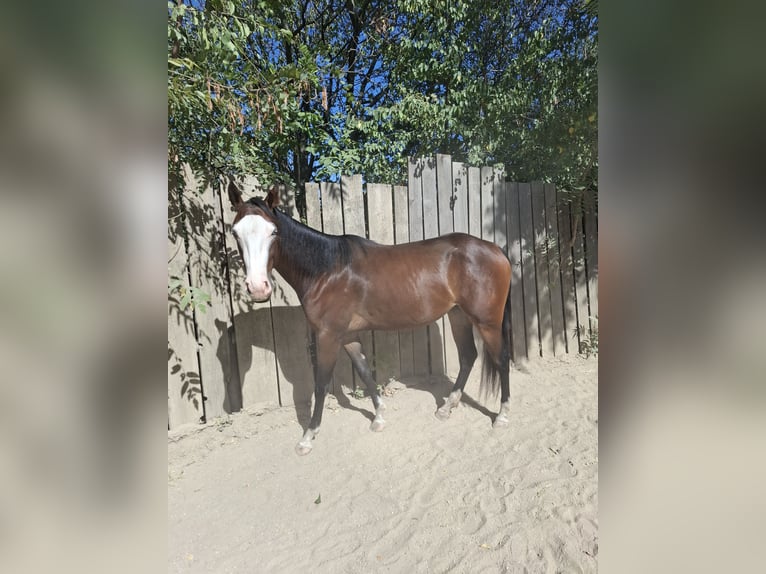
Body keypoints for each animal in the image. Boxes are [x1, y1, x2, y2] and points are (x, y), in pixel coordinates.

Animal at [228, 181, 512, 455]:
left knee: (501, 359)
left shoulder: (328, 336)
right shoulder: (348, 336)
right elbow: (365, 372)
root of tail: (495, 249)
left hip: (487, 321)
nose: (258, 288)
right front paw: (379, 417)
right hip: (458, 316)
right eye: (235, 233)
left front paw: (308, 437)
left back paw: (502, 416)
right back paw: (446, 408)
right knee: (467, 357)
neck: (327, 270)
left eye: (273, 232)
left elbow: (321, 384)